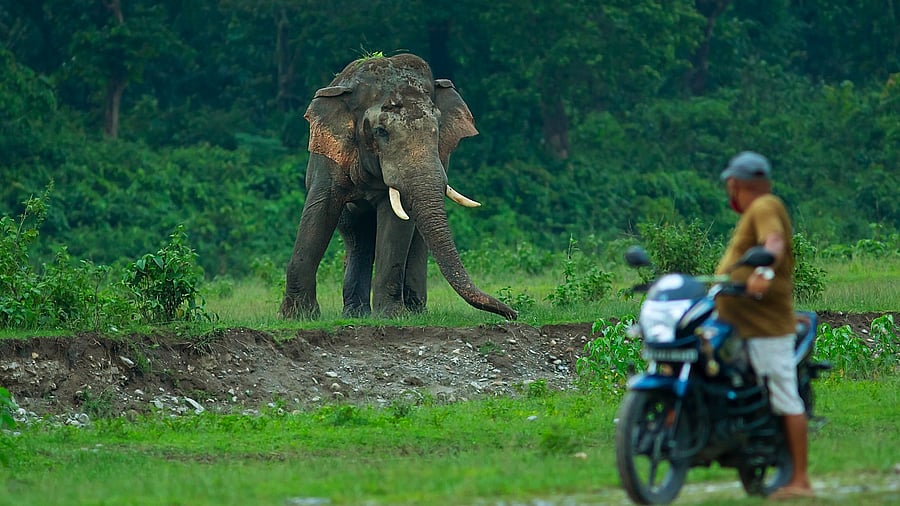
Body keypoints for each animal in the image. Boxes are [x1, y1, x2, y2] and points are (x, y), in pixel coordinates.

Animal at [280, 53, 517, 321]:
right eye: (381, 131)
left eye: (437, 130)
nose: (513, 313)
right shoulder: (329, 157)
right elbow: (318, 211)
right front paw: (296, 317)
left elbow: (396, 223)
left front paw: (391, 317)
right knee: (357, 237)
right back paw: (356, 314)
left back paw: (413, 311)